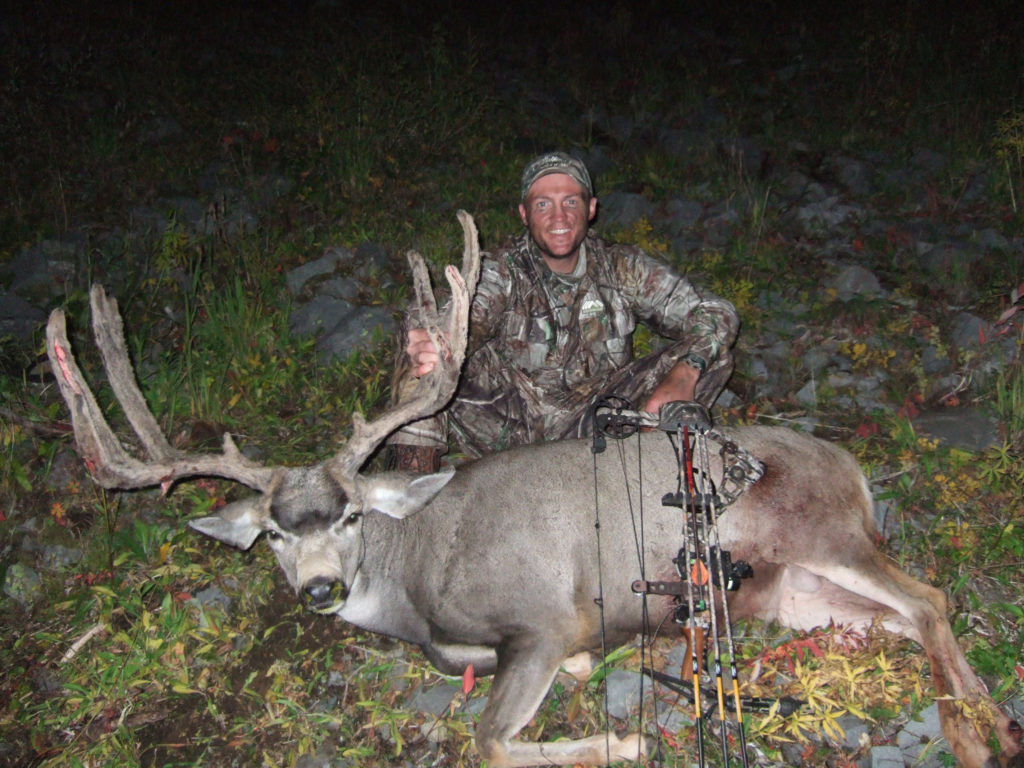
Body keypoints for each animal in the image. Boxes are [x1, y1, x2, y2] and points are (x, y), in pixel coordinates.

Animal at [46, 210, 1022, 768]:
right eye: (277, 535)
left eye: (352, 513)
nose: (320, 588)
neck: (419, 576)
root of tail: (850, 470)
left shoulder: (543, 620)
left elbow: (485, 740)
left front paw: (626, 735)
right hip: (801, 600)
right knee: (907, 617)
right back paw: (979, 722)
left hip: (819, 531)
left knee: (929, 596)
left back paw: (980, 736)